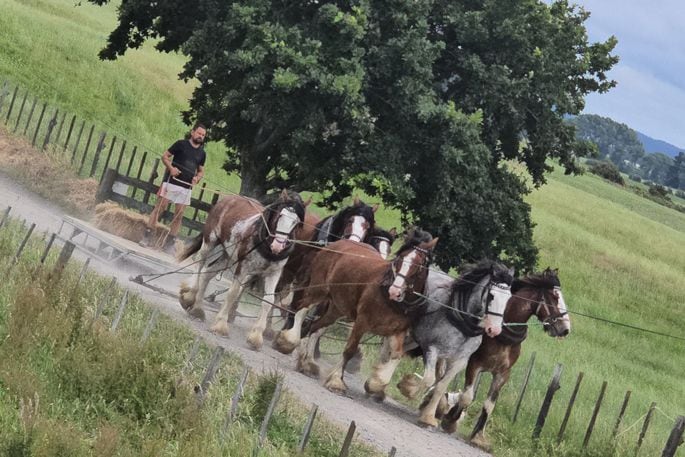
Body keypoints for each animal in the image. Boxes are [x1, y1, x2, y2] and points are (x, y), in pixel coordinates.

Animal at [176, 189, 304, 350]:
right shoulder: (243, 267)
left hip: (228, 255)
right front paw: (221, 325)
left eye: (296, 222)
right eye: (280, 215)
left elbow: (268, 301)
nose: (278, 246)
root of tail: (229, 198)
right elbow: (233, 293)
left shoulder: (274, 273)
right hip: (210, 240)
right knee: (200, 262)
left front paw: (256, 337)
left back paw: (198, 309)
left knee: (207, 273)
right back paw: (189, 296)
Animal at [276, 227, 436, 392]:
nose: (394, 291)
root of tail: (338, 243)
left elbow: (396, 356)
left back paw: (306, 362)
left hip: (336, 308)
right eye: (400, 259)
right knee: (301, 311)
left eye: (419, 265)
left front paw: (377, 383)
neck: (391, 301)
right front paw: (336, 380)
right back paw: (289, 341)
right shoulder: (362, 322)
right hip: (318, 290)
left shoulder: (398, 331)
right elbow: (350, 350)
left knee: (315, 327)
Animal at [364, 260, 512, 428]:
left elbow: (441, 386)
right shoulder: (431, 348)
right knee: (388, 351)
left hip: (414, 340)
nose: (495, 329)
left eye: (509, 298)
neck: (460, 322)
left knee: (397, 354)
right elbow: (428, 379)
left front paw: (428, 416)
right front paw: (408, 388)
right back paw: (375, 384)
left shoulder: (460, 361)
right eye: (492, 295)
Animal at [438, 266, 572, 448]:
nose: (565, 329)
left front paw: (478, 435)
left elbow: (489, 405)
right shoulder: (474, 364)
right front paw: (451, 419)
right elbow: (467, 396)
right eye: (555, 297)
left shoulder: (502, 373)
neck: (502, 333)